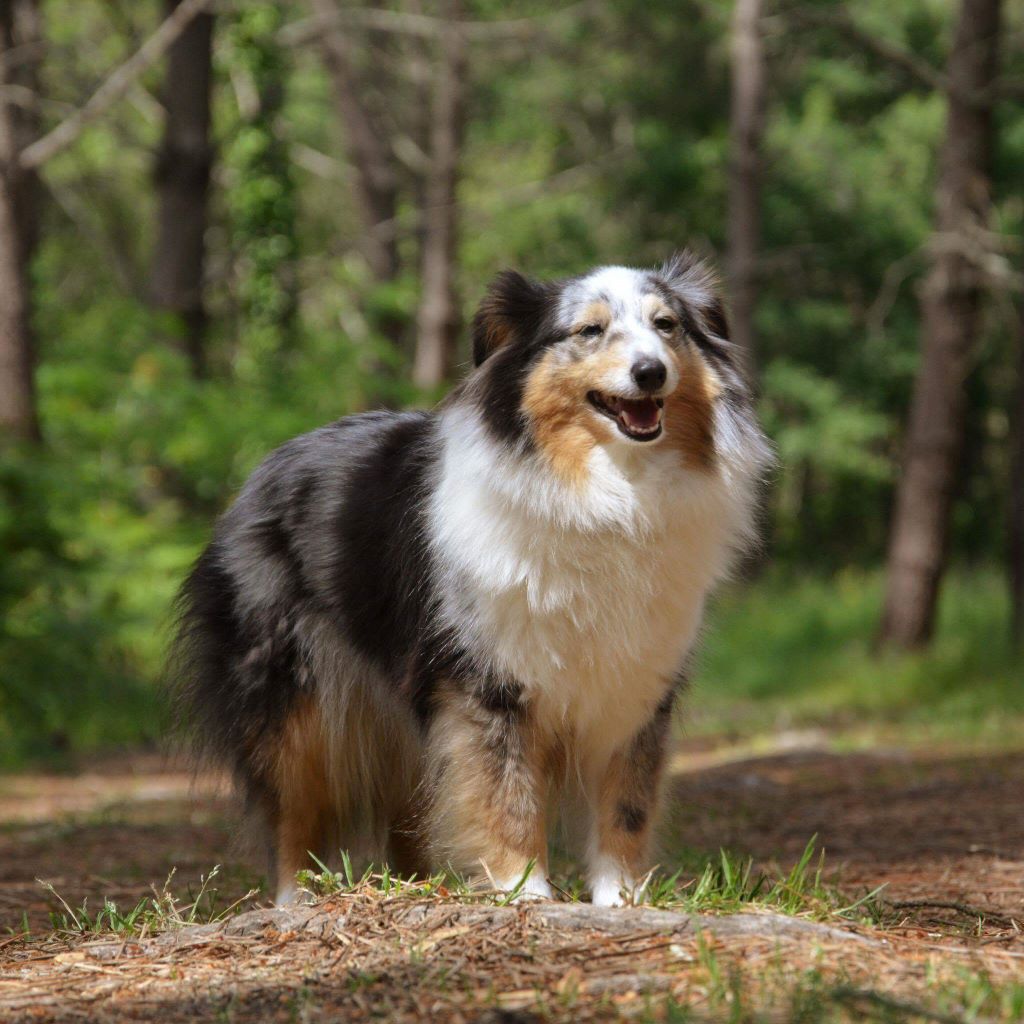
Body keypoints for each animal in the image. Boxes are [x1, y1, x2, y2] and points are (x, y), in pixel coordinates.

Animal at [172, 251, 770, 909]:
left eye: (667, 325)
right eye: (589, 330)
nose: (650, 372)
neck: (605, 496)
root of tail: (260, 472)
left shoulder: (636, 684)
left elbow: (626, 803)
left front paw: (621, 900)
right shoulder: (487, 681)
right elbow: (505, 794)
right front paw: (523, 891)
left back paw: (416, 888)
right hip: (293, 702)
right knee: (293, 813)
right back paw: (297, 901)